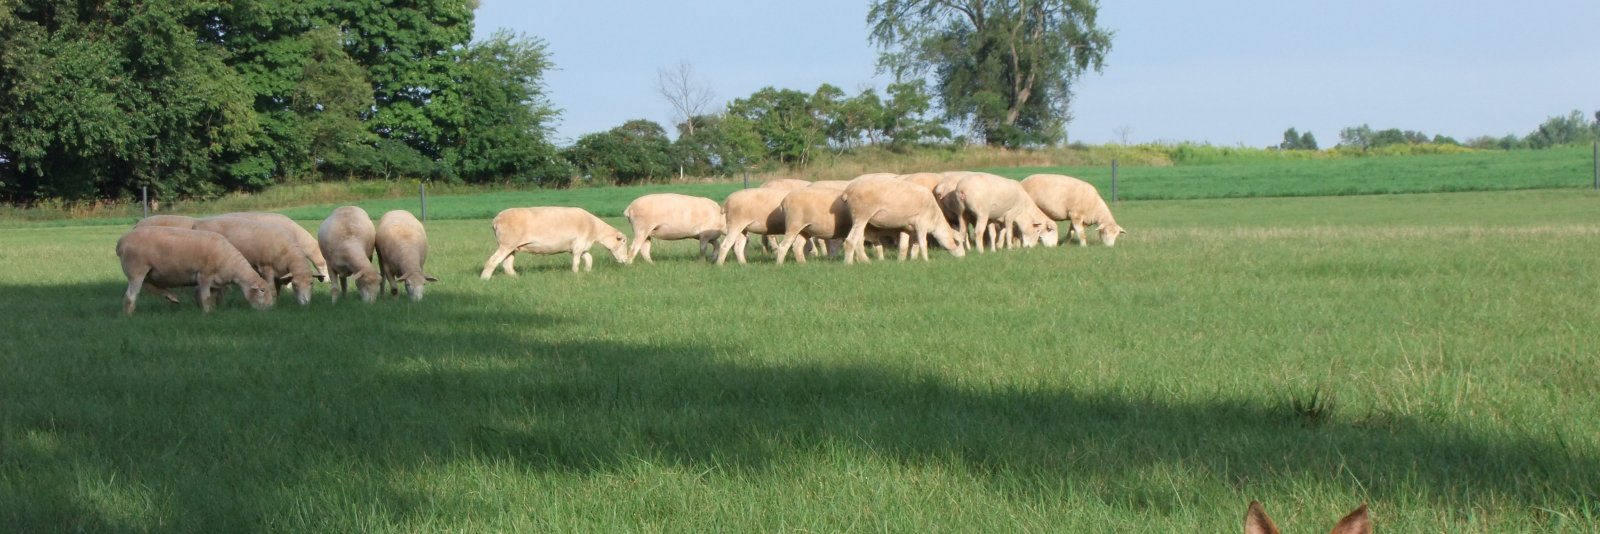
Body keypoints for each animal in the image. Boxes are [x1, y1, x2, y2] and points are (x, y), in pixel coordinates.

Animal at [115, 226, 273, 315]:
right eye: (262, 290)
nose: (270, 309)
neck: (232, 265)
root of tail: (121, 242)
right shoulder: (204, 275)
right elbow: (205, 296)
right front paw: (207, 313)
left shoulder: (215, 282)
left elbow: (210, 297)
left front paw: (211, 310)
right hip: (137, 270)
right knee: (130, 296)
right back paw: (129, 315)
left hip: (150, 272)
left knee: (150, 286)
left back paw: (171, 297)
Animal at [480, 206, 629, 277]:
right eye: (623, 242)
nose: (626, 260)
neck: (594, 228)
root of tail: (496, 220)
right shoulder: (578, 246)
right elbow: (576, 262)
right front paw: (575, 273)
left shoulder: (581, 247)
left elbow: (589, 258)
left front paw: (587, 271)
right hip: (506, 244)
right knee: (492, 261)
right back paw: (485, 279)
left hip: (512, 247)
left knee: (507, 264)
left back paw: (515, 277)